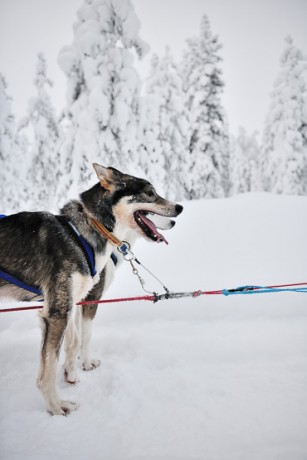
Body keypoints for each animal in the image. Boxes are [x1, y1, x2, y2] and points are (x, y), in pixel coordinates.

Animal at [0, 164, 183, 416]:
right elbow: (52, 365)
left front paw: (71, 373)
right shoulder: (60, 311)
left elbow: (74, 340)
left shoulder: (71, 304)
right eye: (150, 193)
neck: (81, 233)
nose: (179, 208)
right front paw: (56, 407)